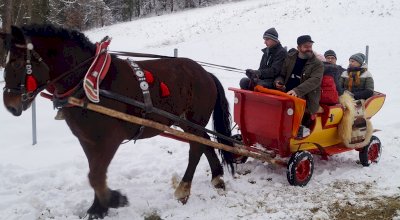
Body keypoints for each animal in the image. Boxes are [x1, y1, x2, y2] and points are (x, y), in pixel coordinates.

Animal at [0, 24, 234, 218]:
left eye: (18, 62)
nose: (10, 105)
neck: (89, 81)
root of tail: (205, 73)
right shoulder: (88, 140)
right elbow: (95, 172)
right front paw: (98, 208)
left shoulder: (110, 138)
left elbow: (96, 175)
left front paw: (113, 200)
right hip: (188, 123)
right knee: (205, 143)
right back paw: (217, 177)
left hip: (193, 119)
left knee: (196, 148)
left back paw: (184, 189)